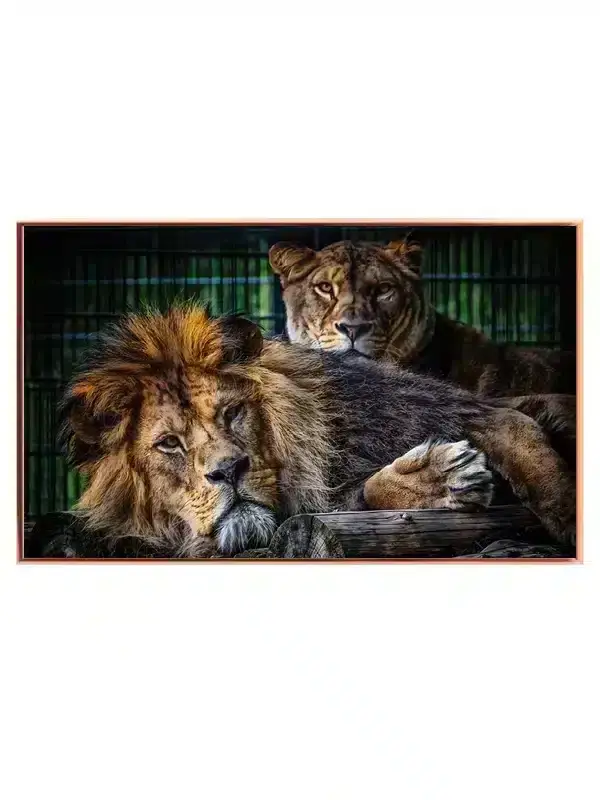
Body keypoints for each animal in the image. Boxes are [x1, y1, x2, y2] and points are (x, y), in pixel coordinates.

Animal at [27, 305, 575, 558]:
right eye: (169, 444)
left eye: (231, 414)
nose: (228, 470)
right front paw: (439, 478)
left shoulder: (479, 410)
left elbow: (534, 455)